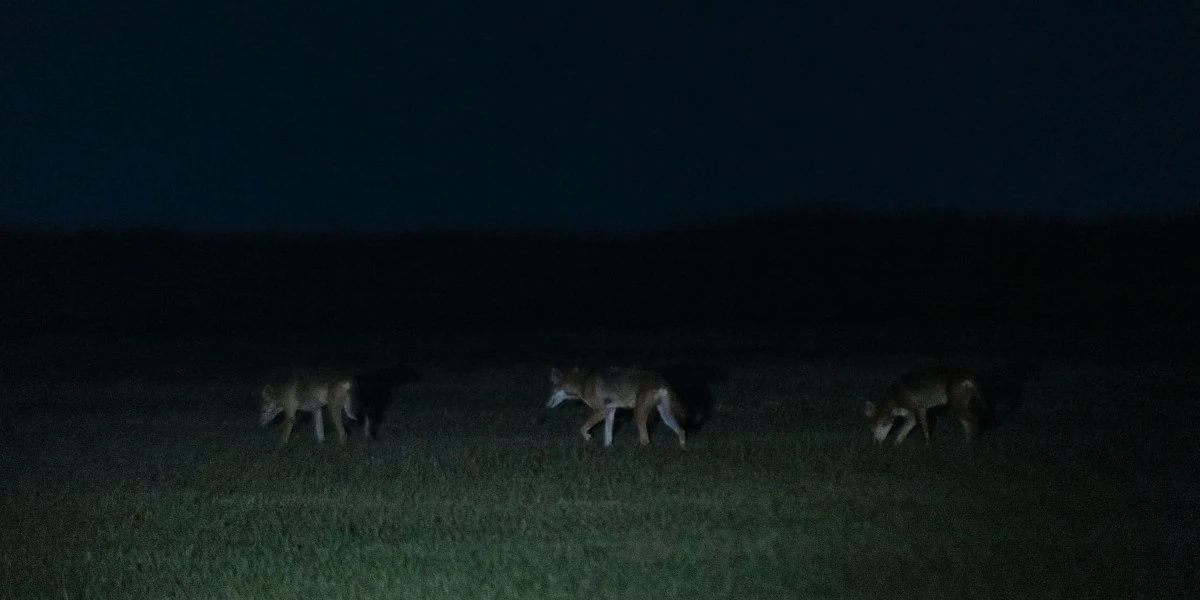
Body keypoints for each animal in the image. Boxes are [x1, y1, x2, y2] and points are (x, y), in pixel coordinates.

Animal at [547, 366, 686, 449]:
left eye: (552, 391)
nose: (545, 404)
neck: (583, 383)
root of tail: (662, 379)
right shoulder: (610, 412)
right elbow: (608, 435)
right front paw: (608, 449)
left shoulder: (601, 412)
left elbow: (582, 428)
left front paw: (588, 438)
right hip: (664, 416)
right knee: (681, 431)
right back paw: (682, 450)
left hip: (638, 414)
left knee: (646, 440)